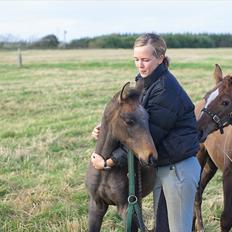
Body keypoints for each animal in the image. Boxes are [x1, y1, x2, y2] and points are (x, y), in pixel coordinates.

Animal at [85, 80, 158, 231]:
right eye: (129, 121)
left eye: (148, 118)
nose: (151, 157)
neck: (104, 169)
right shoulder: (96, 205)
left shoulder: (126, 208)